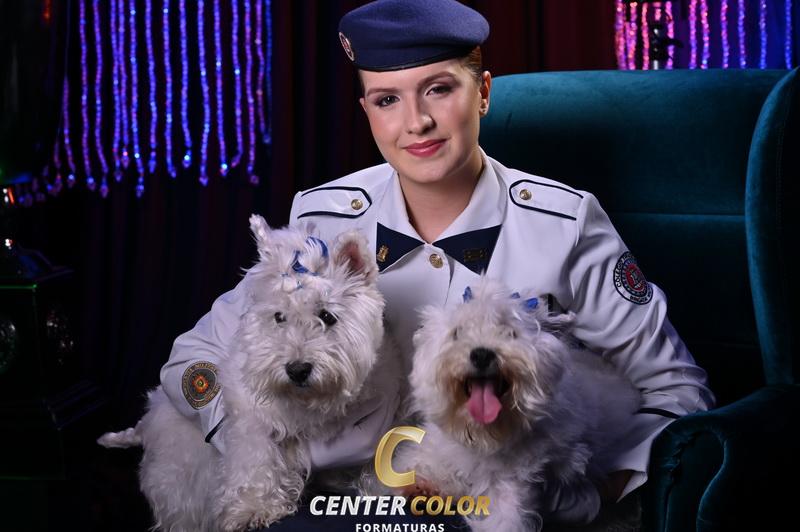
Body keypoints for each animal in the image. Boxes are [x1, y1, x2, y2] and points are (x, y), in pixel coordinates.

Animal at [98, 216, 399, 531]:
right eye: (279, 316)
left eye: (327, 316)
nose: (297, 370)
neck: (314, 402)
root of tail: (148, 420)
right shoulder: (250, 418)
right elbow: (255, 458)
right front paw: (253, 508)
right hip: (179, 477)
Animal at [393, 276, 641, 532]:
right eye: (457, 332)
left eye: (510, 333)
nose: (482, 354)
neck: (482, 435)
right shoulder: (437, 451)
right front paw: (423, 486)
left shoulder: (512, 485)